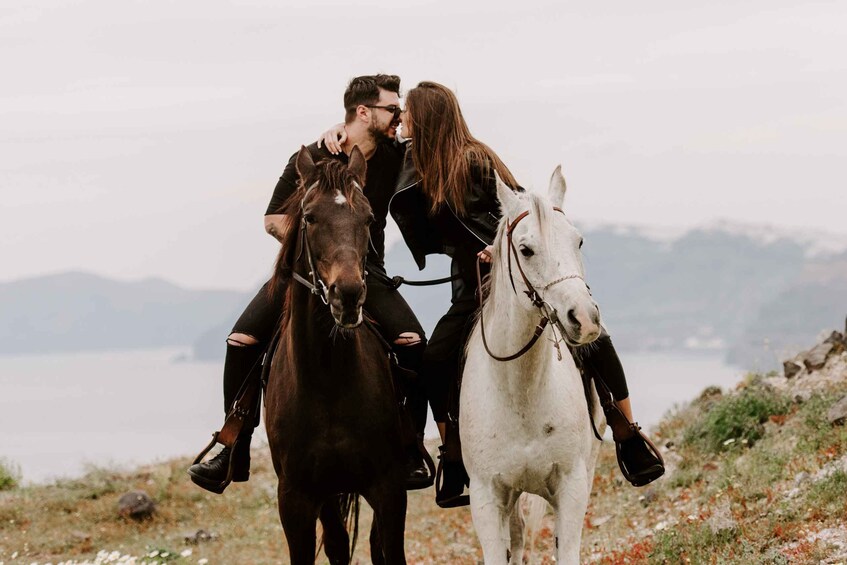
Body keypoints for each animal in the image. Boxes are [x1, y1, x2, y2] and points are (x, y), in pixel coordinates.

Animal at [266, 147, 410, 564]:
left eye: (369, 218)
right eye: (310, 217)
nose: (347, 294)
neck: (327, 379)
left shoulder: (389, 487)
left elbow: (390, 551)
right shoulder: (296, 499)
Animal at [460, 167, 608, 564]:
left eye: (579, 241)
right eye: (526, 250)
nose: (584, 319)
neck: (520, 394)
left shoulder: (571, 487)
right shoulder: (487, 498)